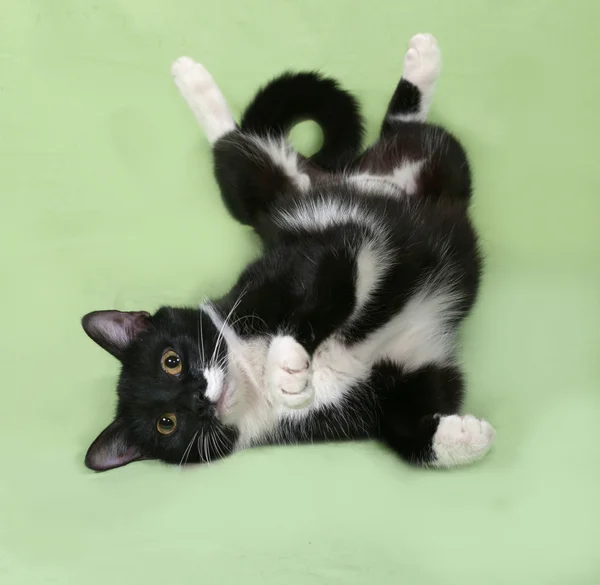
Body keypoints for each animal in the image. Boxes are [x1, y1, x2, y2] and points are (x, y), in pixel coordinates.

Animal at [83, 32, 496, 472]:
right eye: (167, 423)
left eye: (171, 361)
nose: (198, 398)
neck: (249, 374)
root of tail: (341, 173)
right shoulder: (380, 391)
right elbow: (406, 426)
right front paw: (466, 437)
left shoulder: (329, 251)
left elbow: (324, 286)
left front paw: (284, 364)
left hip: (290, 196)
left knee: (243, 150)